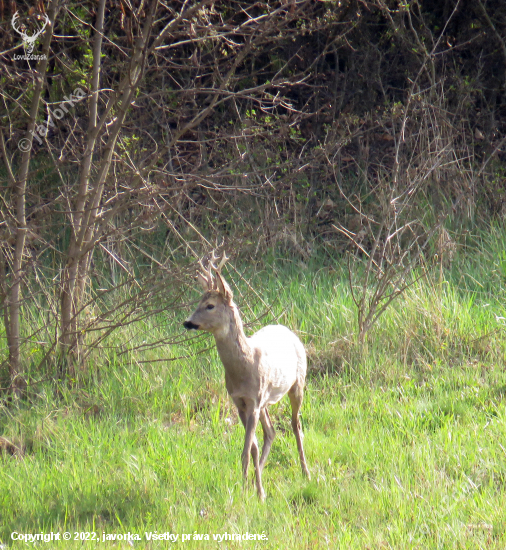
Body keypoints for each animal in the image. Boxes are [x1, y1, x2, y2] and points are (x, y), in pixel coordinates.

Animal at [182, 256, 308, 502]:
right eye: (198, 302)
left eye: (210, 305)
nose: (187, 322)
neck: (243, 367)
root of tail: (288, 331)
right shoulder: (240, 402)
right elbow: (252, 448)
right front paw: (251, 487)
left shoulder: (254, 402)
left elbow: (246, 449)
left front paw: (254, 492)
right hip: (267, 400)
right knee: (271, 432)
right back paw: (261, 473)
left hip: (297, 384)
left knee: (296, 424)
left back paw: (306, 473)